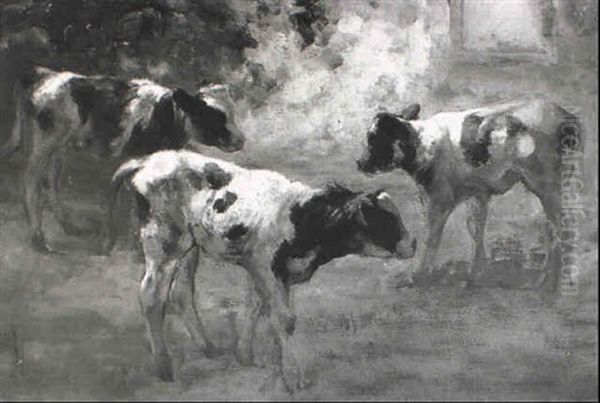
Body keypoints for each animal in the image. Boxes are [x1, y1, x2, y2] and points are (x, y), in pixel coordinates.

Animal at [0, 68, 244, 254]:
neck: (165, 115)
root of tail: (42, 74)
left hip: (60, 148)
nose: (241, 141)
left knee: (50, 181)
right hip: (43, 144)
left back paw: (70, 226)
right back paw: (38, 240)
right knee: (31, 180)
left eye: (233, 113)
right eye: (214, 116)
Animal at [112, 151, 414, 392]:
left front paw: (248, 357)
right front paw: (294, 378)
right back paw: (164, 367)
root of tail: (145, 161)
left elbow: (256, 307)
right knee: (151, 296)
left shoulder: (265, 270)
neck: (299, 217)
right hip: (164, 243)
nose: (412, 244)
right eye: (382, 219)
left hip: (190, 248)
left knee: (182, 294)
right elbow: (285, 319)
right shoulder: (265, 266)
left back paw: (208, 349)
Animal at [358, 98, 584, 294]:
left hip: (547, 185)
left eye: (376, 138)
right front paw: (477, 275)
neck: (423, 145)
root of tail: (564, 113)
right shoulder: (478, 193)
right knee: (555, 227)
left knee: (560, 227)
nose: (360, 163)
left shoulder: (438, 200)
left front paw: (418, 276)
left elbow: (431, 238)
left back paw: (549, 283)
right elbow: (475, 230)